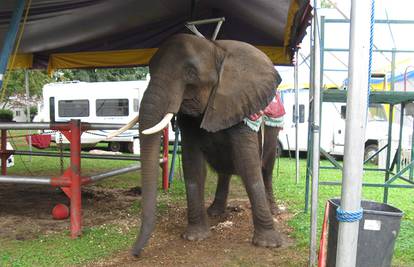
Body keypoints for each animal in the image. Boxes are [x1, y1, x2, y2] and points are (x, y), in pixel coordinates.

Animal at [113, 33, 284, 258]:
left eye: (191, 73)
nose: (135, 253)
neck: (215, 48)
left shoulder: (241, 104)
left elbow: (248, 167)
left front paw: (268, 244)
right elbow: (193, 166)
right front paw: (194, 237)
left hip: (274, 131)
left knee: (266, 169)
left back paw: (273, 211)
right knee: (225, 170)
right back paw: (215, 212)